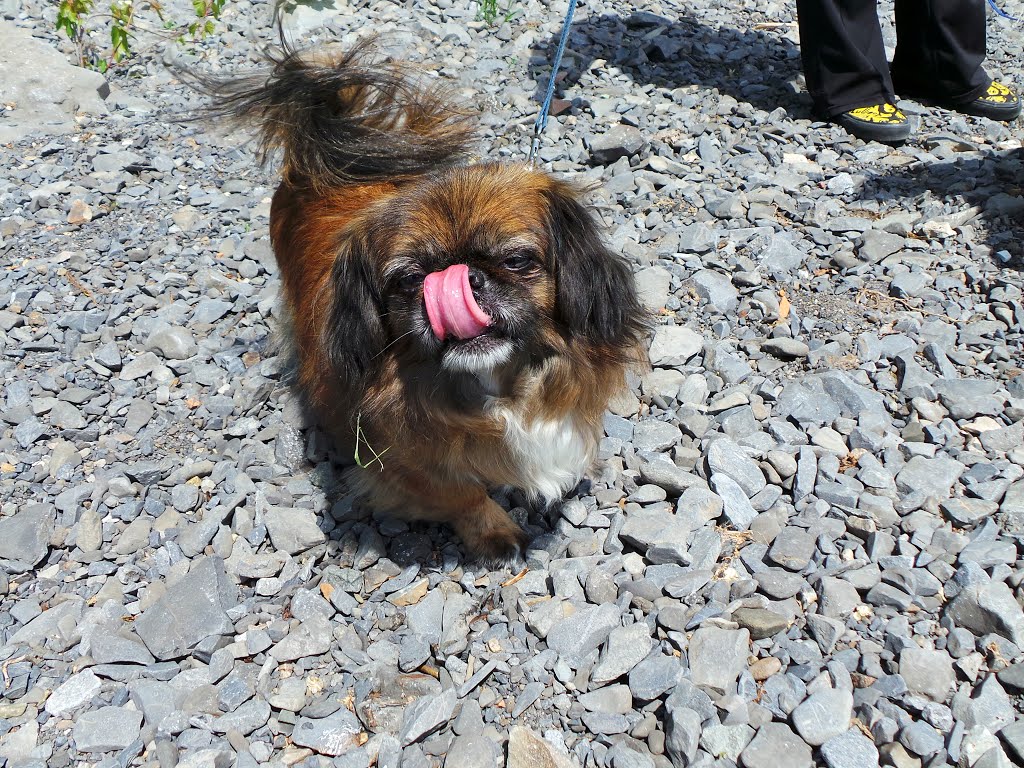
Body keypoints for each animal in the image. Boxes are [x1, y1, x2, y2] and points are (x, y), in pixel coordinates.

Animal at [199, 43, 647, 565]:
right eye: (411, 278)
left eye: (516, 260)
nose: (460, 278)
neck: (498, 387)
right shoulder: (401, 459)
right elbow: (463, 494)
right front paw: (496, 533)